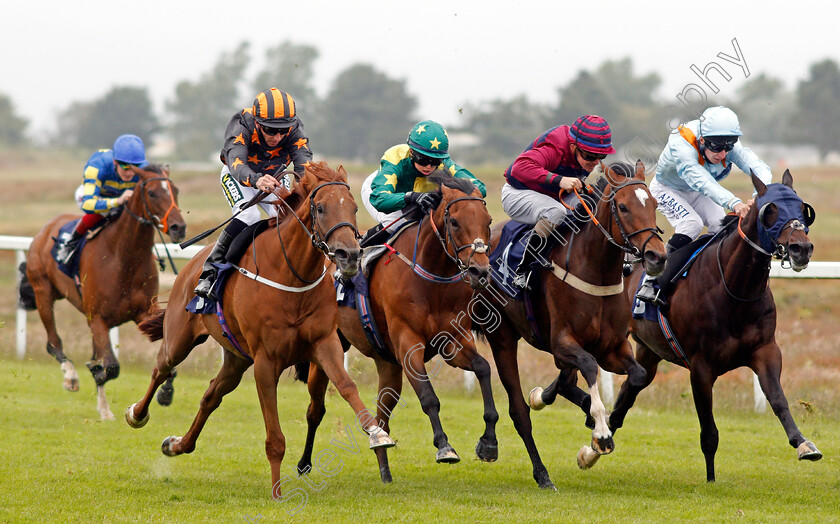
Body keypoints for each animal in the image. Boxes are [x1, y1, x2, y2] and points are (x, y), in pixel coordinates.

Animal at [18, 166, 185, 420]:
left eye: (175, 190)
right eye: (153, 193)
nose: (178, 227)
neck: (124, 258)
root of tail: (46, 229)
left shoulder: (144, 313)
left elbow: (166, 356)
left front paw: (165, 392)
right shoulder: (98, 318)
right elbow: (111, 367)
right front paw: (93, 371)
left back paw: (103, 407)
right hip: (43, 292)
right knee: (53, 343)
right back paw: (72, 377)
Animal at [124, 162, 398, 498]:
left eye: (354, 207)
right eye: (320, 208)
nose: (350, 254)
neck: (292, 276)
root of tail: (192, 264)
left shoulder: (324, 343)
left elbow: (347, 386)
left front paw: (376, 433)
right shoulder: (266, 362)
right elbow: (275, 436)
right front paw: (277, 492)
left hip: (236, 357)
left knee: (211, 395)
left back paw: (176, 444)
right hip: (179, 338)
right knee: (161, 369)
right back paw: (137, 414)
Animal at [296, 174, 496, 486]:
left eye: (488, 221)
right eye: (454, 222)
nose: (480, 271)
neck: (432, 278)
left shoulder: (453, 342)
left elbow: (484, 368)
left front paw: (488, 443)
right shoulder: (407, 345)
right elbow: (428, 397)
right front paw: (444, 447)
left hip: (386, 364)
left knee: (382, 416)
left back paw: (385, 470)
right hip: (326, 351)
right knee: (315, 410)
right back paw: (305, 463)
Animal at [476, 162, 668, 490]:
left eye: (655, 204)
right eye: (623, 207)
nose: (657, 256)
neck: (596, 269)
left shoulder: (612, 347)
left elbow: (638, 374)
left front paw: (595, 425)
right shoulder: (563, 343)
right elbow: (589, 366)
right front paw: (601, 433)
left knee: (563, 383)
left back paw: (545, 398)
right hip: (502, 337)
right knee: (519, 412)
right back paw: (540, 473)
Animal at [564, 170, 820, 482]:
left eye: (801, 209)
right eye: (770, 210)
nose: (801, 248)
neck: (734, 288)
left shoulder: (766, 351)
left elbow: (778, 399)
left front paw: (803, 443)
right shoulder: (701, 367)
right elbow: (709, 432)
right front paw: (710, 479)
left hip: (648, 354)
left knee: (624, 400)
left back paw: (591, 449)